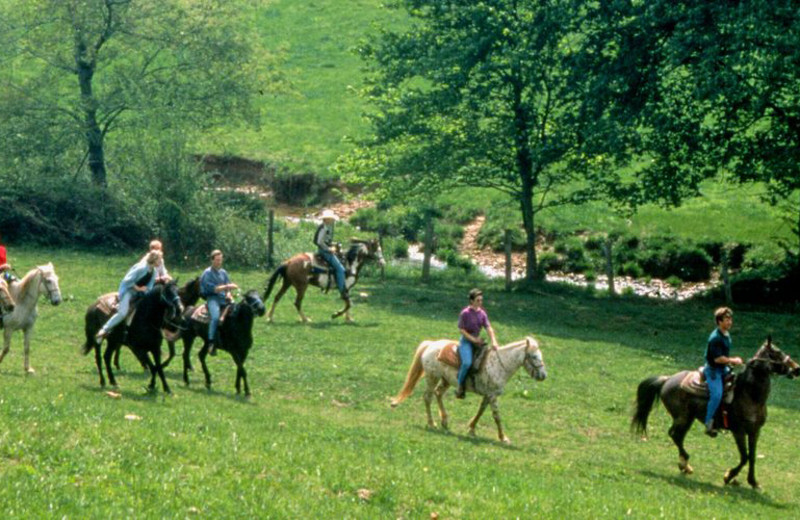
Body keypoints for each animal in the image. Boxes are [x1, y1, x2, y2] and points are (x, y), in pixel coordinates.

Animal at [390, 338, 548, 442]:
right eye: (534, 356)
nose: (543, 376)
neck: (498, 365)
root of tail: (431, 344)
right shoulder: (492, 396)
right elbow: (496, 416)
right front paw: (503, 437)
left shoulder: (488, 395)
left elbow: (481, 411)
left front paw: (471, 429)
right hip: (432, 377)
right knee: (428, 397)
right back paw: (432, 423)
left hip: (446, 380)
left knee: (438, 393)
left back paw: (444, 421)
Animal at [632, 338, 800, 492]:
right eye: (777, 353)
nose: (796, 368)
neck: (749, 395)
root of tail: (667, 379)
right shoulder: (738, 431)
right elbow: (744, 456)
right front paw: (729, 476)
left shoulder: (755, 431)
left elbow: (752, 456)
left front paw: (753, 482)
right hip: (682, 417)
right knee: (674, 435)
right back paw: (685, 463)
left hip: (688, 418)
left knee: (678, 436)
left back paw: (684, 466)